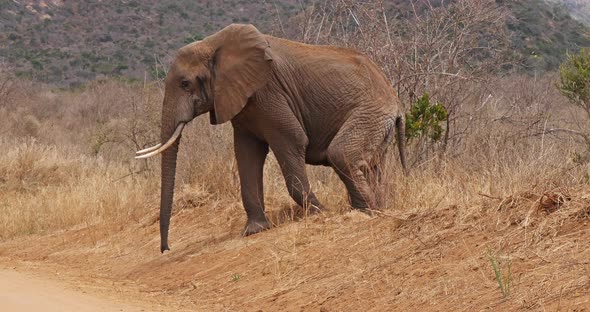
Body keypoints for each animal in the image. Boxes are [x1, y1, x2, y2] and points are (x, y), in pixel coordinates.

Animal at [136, 24, 410, 254]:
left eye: (185, 83)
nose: (166, 249)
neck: (213, 44)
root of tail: (397, 103)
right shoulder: (243, 102)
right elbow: (246, 153)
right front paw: (255, 230)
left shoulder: (268, 91)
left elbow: (291, 138)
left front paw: (320, 212)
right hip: (377, 121)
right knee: (372, 165)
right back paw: (376, 209)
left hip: (371, 112)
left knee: (341, 154)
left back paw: (364, 213)